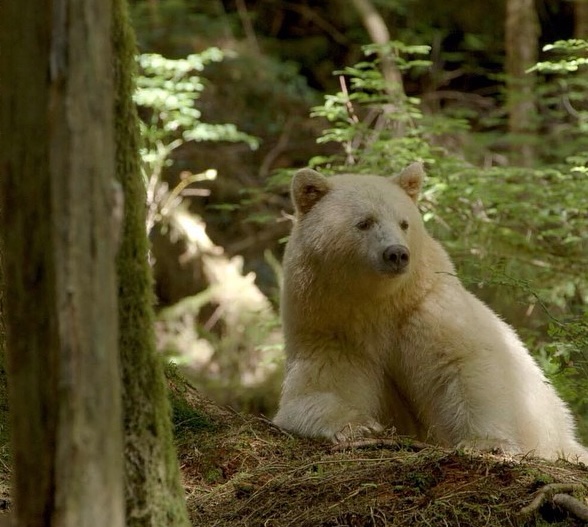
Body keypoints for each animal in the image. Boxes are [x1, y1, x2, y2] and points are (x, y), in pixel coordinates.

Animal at [274, 163, 588, 464]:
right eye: (364, 222)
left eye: (404, 223)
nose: (397, 254)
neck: (378, 304)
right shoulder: (332, 330)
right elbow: (320, 388)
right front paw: (359, 425)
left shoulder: (426, 309)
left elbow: (466, 364)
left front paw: (486, 443)